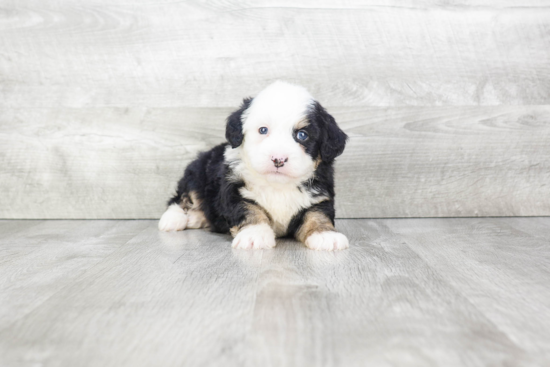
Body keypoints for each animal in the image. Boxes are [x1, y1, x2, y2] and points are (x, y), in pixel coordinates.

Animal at [158, 82, 350, 252]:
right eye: (263, 130)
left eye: (302, 135)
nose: (278, 159)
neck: (278, 186)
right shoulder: (234, 189)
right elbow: (249, 209)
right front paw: (254, 235)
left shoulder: (320, 195)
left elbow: (317, 214)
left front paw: (325, 235)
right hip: (197, 173)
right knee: (181, 198)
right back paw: (174, 219)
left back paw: (196, 218)